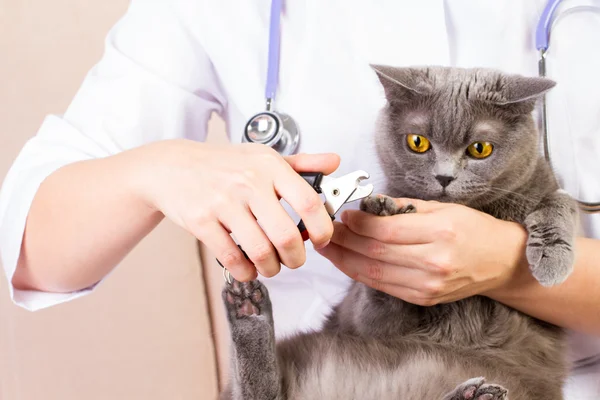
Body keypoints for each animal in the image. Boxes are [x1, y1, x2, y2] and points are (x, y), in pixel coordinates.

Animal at [219, 66, 576, 400]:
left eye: (480, 149)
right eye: (418, 142)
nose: (444, 177)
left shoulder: (543, 184)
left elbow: (561, 202)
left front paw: (552, 259)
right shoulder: (362, 322)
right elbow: (374, 312)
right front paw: (384, 214)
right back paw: (247, 308)